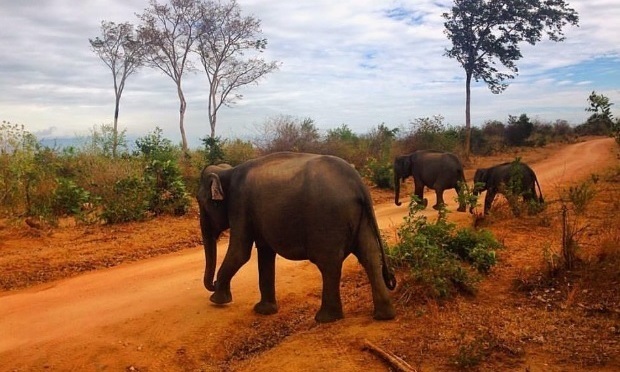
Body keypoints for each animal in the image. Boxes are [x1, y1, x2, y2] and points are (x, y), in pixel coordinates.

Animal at [196, 151, 394, 322]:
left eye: (202, 202)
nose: (213, 283)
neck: (227, 171)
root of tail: (358, 183)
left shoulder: (239, 204)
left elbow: (240, 252)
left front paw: (217, 300)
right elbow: (265, 251)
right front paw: (264, 310)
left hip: (327, 218)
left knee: (329, 263)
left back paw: (326, 318)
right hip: (362, 217)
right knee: (370, 256)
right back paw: (383, 315)